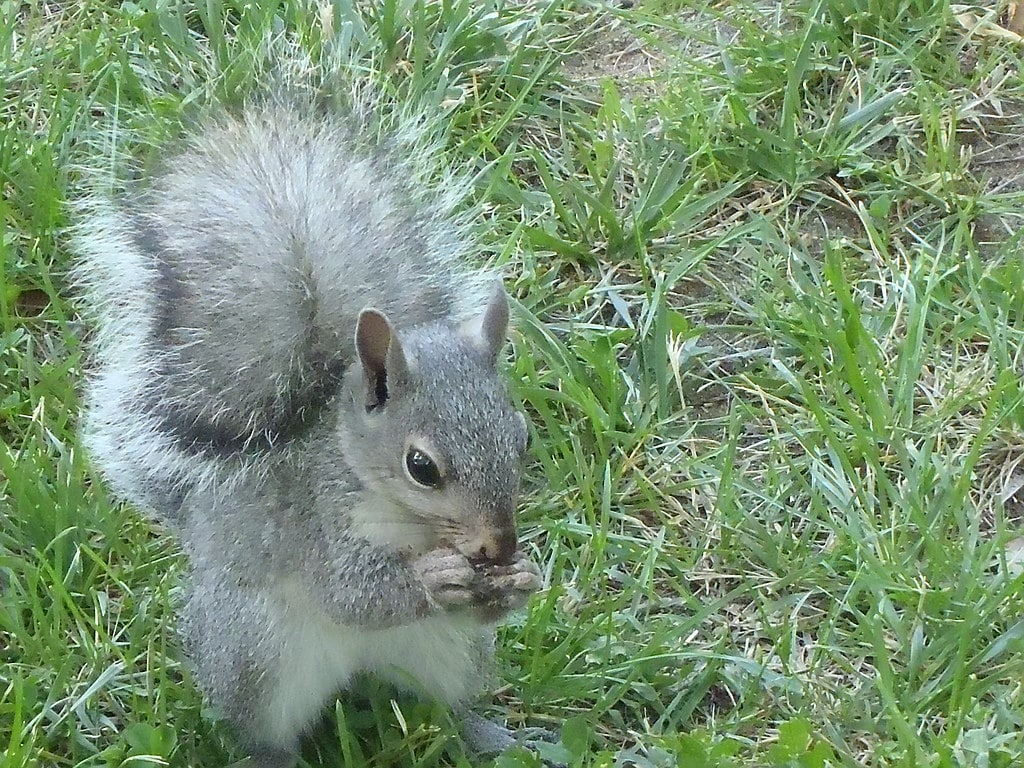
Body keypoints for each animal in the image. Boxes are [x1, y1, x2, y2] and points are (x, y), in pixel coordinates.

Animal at [73, 79, 542, 768]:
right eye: (421, 467)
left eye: (522, 437)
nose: (500, 546)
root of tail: (363, 671)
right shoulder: (315, 520)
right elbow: (347, 590)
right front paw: (432, 578)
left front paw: (523, 578)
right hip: (255, 652)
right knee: (258, 728)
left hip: (449, 651)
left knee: (451, 704)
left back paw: (489, 735)